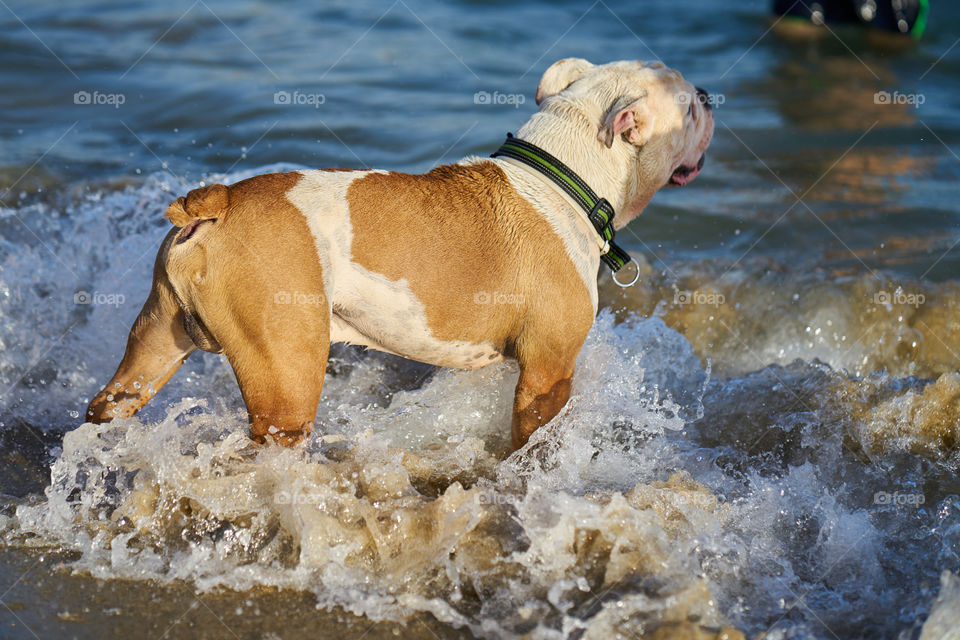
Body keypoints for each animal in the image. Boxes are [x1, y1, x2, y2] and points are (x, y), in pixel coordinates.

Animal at [88, 58, 712, 450]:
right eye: (688, 105)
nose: (709, 95)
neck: (565, 175)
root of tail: (217, 203)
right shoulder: (548, 372)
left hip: (154, 345)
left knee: (110, 403)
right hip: (285, 377)